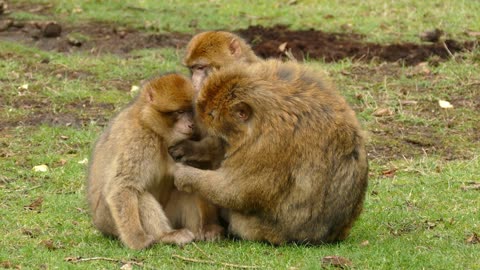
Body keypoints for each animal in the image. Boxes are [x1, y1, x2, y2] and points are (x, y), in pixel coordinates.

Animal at [88, 73, 223, 249]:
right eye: (179, 111)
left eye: (190, 111)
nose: (191, 124)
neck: (157, 132)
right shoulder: (138, 140)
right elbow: (122, 186)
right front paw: (137, 239)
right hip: (108, 221)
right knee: (139, 194)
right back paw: (166, 236)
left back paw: (203, 229)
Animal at [174, 60, 370, 245]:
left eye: (212, 114)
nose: (198, 119)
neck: (263, 116)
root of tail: (334, 235)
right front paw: (192, 148)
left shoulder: (269, 145)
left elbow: (237, 191)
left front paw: (186, 176)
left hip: (266, 230)